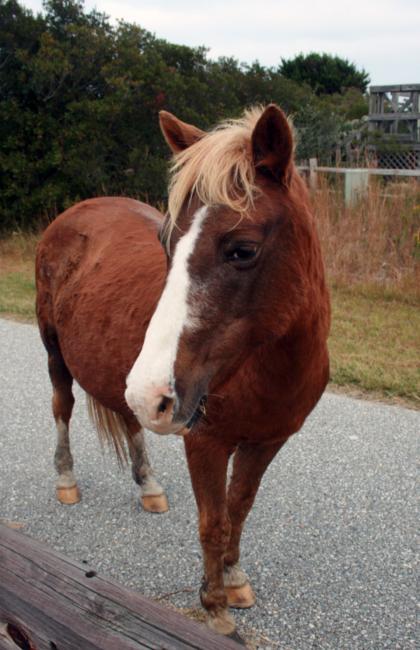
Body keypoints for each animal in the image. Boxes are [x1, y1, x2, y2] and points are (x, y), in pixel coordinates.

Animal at [35, 104, 330, 641]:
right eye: (165, 240)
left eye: (242, 249)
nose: (152, 390)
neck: (268, 369)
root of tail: (73, 213)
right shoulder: (206, 441)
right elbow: (213, 521)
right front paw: (215, 607)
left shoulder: (267, 441)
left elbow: (239, 508)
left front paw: (234, 579)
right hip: (57, 354)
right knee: (62, 406)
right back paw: (66, 479)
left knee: (129, 421)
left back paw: (148, 484)